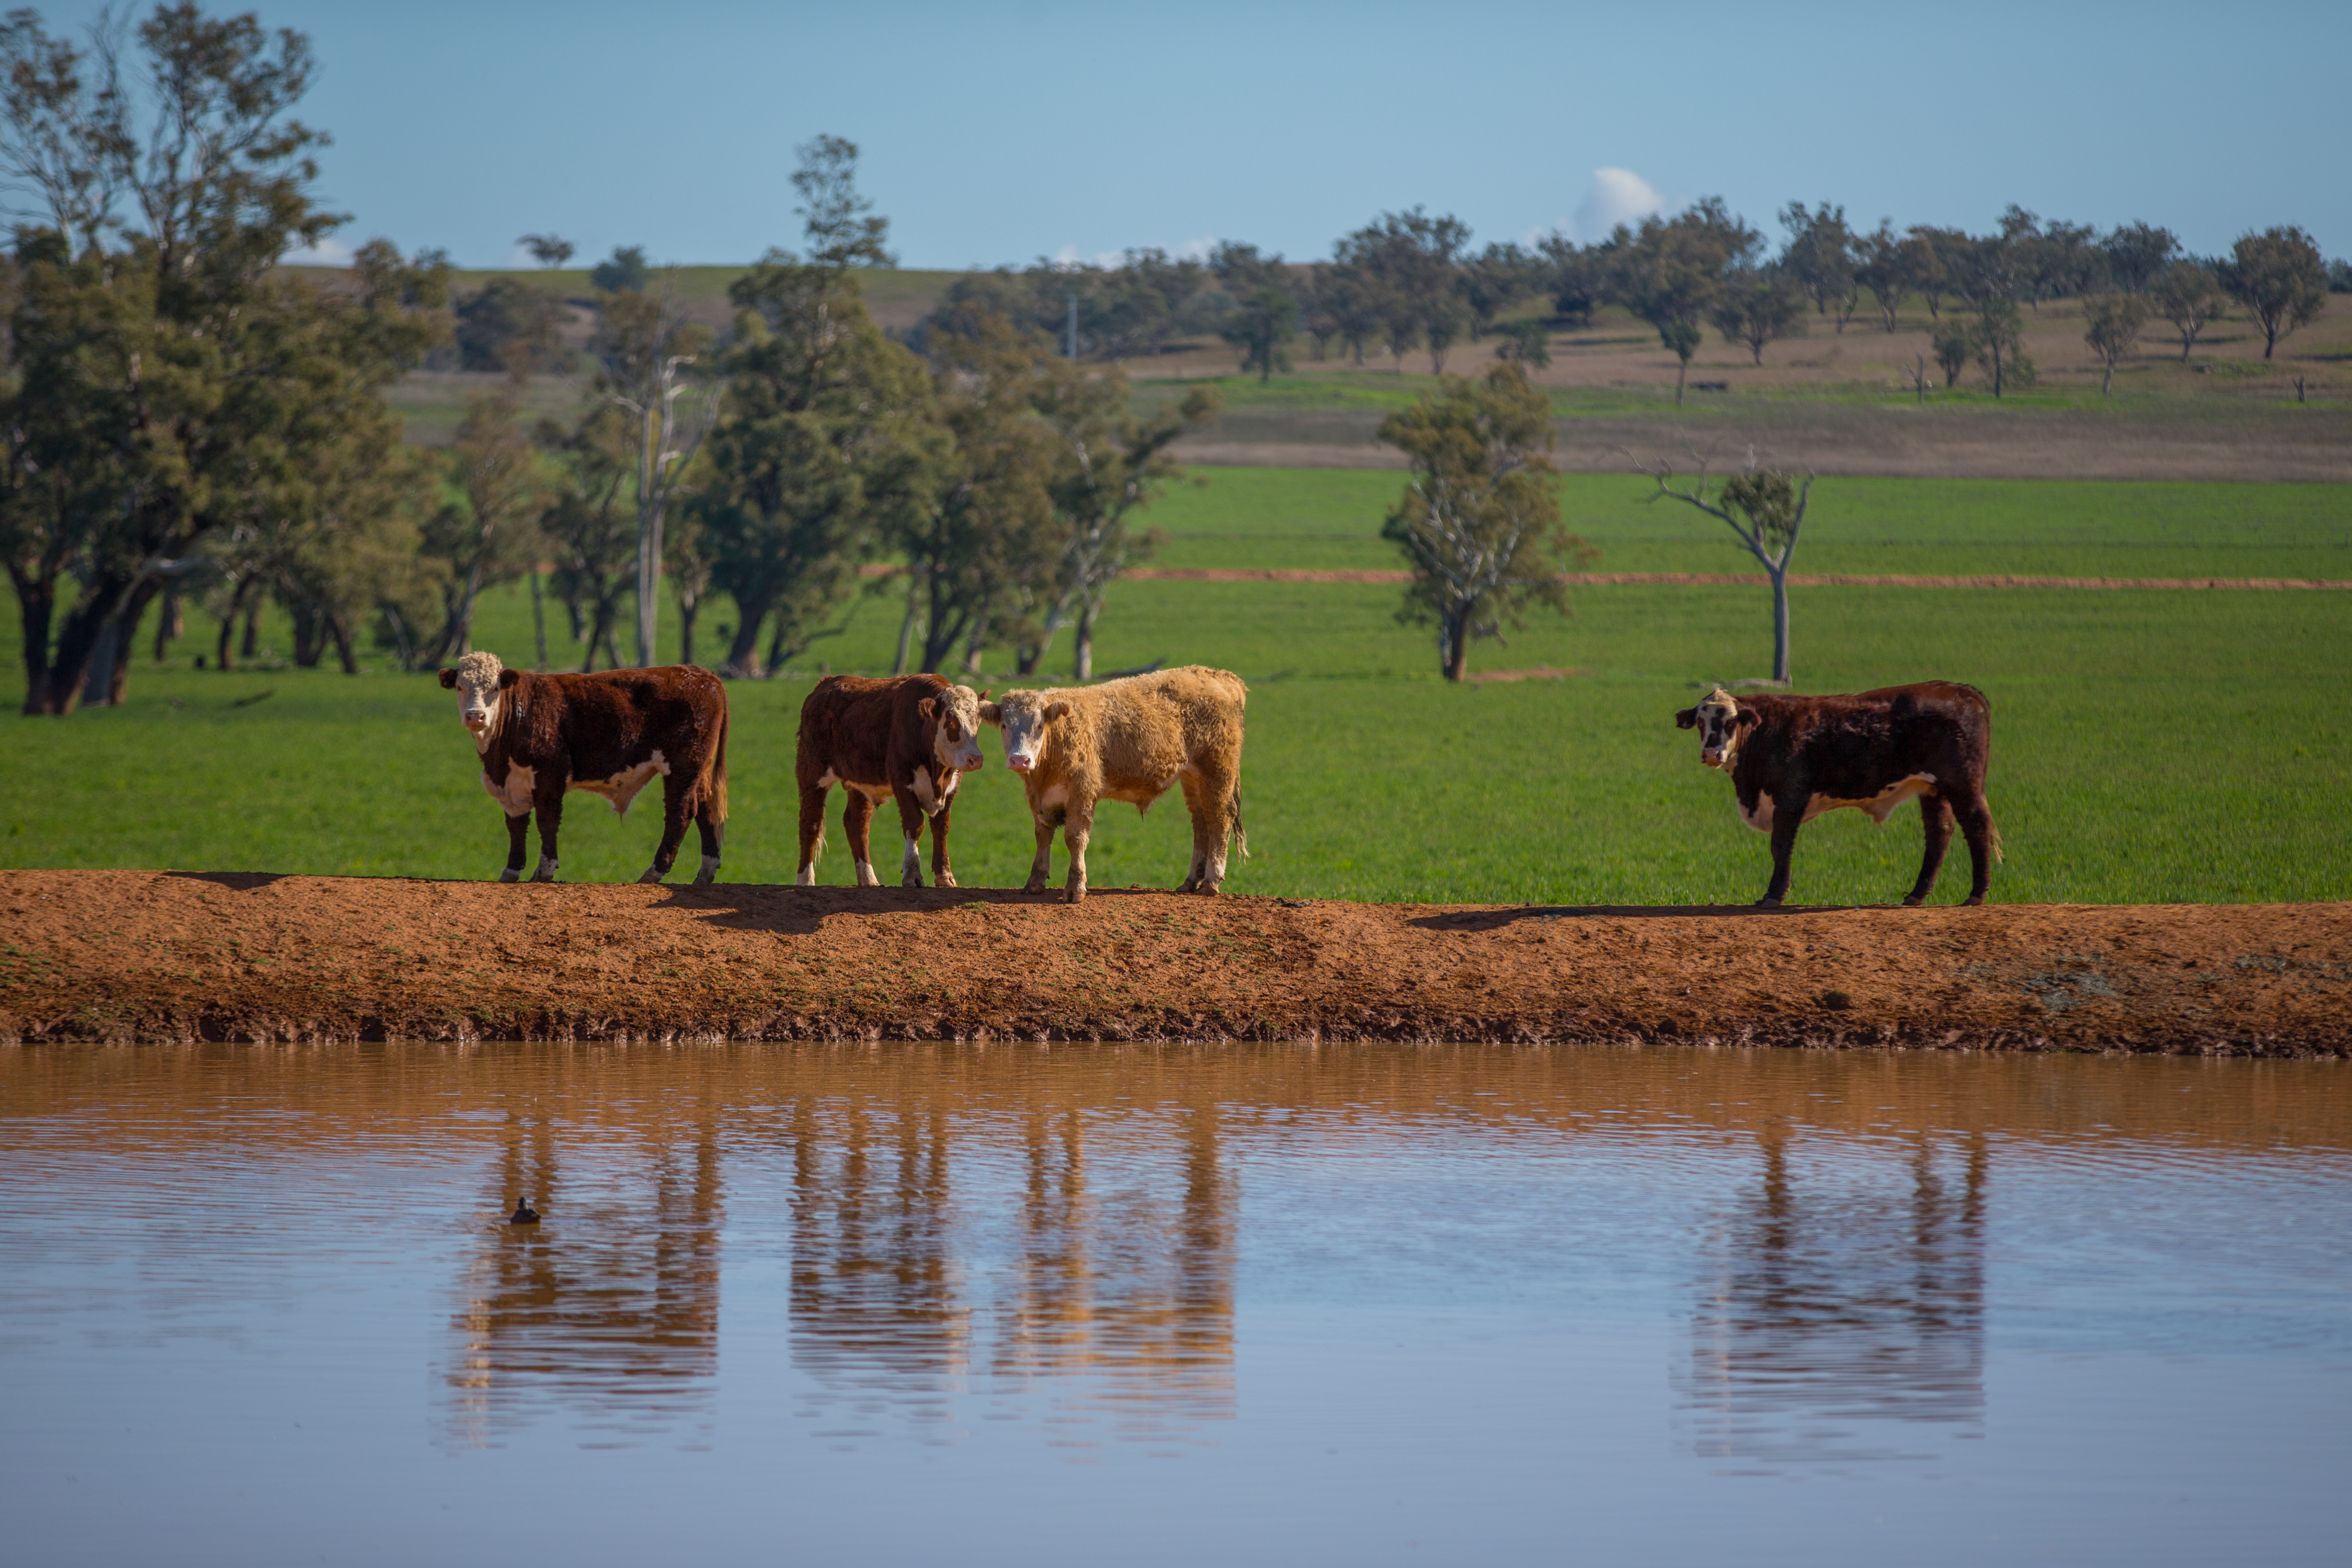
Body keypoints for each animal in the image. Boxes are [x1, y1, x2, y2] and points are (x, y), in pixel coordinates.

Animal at [440, 649, 724, 888]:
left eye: (495, 687)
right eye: (460, 687)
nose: (475, 716)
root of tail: (702, 674)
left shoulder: (549, 774)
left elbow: (547, 820)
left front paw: (544, 871)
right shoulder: (511, 785)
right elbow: (516, 825)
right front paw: (511, 871)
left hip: (683, 766)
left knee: (681, 813)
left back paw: (654, 872)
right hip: (699, 772)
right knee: (706, 809)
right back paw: (705, 874)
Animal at [795, 677, 988, 888]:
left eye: (978, 721)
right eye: (951, 721)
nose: (975, 759)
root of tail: (825, 684)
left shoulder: (952, 787)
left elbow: (941, 827)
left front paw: (944, 875)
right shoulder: (902, 782)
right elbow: (915, 824)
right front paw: (913, 874)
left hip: (861, 783)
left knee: (857, 823)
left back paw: (869, 879)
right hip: (812, 773)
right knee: (811, 823)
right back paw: (805, 879)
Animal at [1674, 681, 2004, 907]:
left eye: (1731, 722)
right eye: (1701, 722)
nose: (1711, 753)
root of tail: (1960, 689)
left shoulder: (1790, 796)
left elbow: (1781, 846)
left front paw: (1774, 895)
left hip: (1963, 785)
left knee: (1977, 827)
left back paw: (1976, 894)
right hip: (1933, 789)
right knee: (1940, 832)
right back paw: (1917, 894)